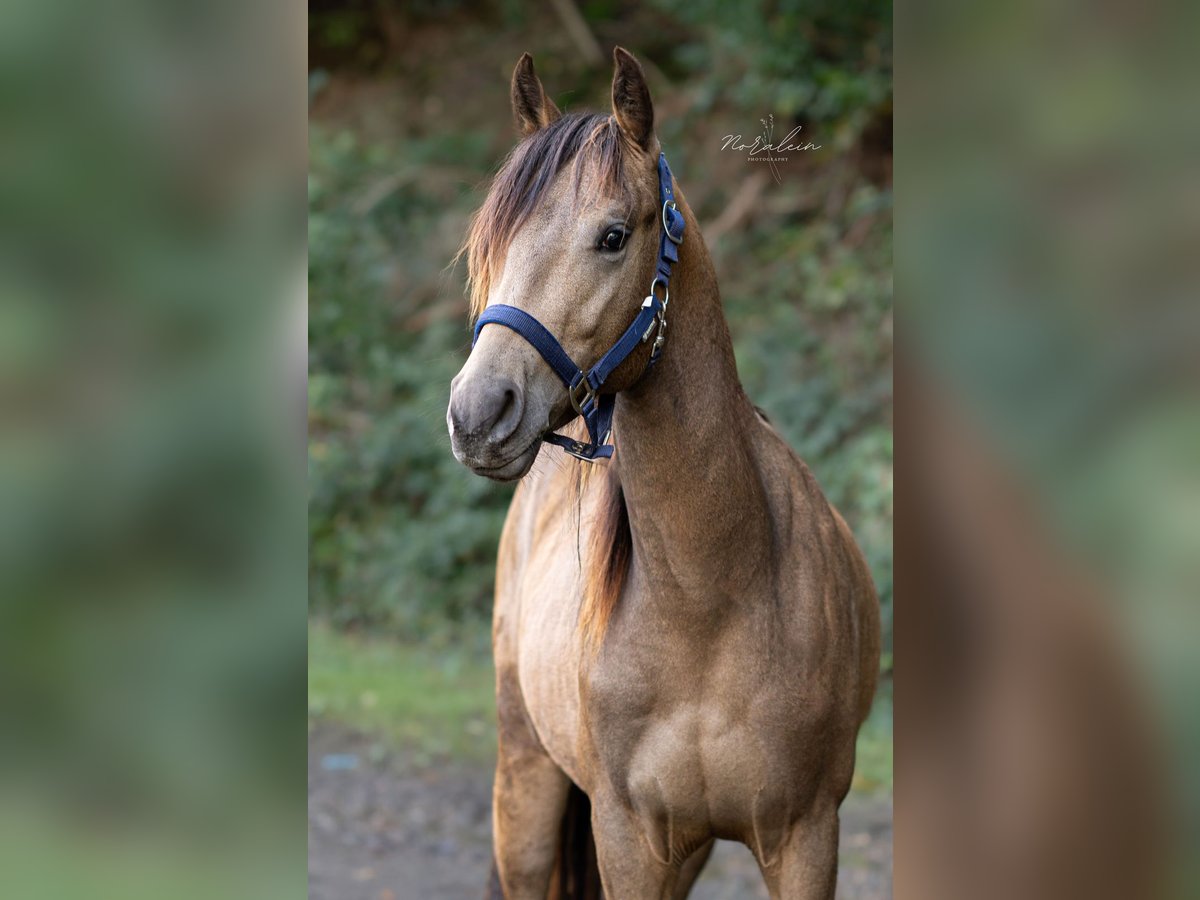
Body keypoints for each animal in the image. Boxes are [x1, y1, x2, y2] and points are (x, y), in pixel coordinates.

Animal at [446, 49, 878, 900]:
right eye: (491, 245)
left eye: (613, 237)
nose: (479, 413)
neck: (709, 601)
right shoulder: (629, 841)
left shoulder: (805, 838)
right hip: (525, 786)